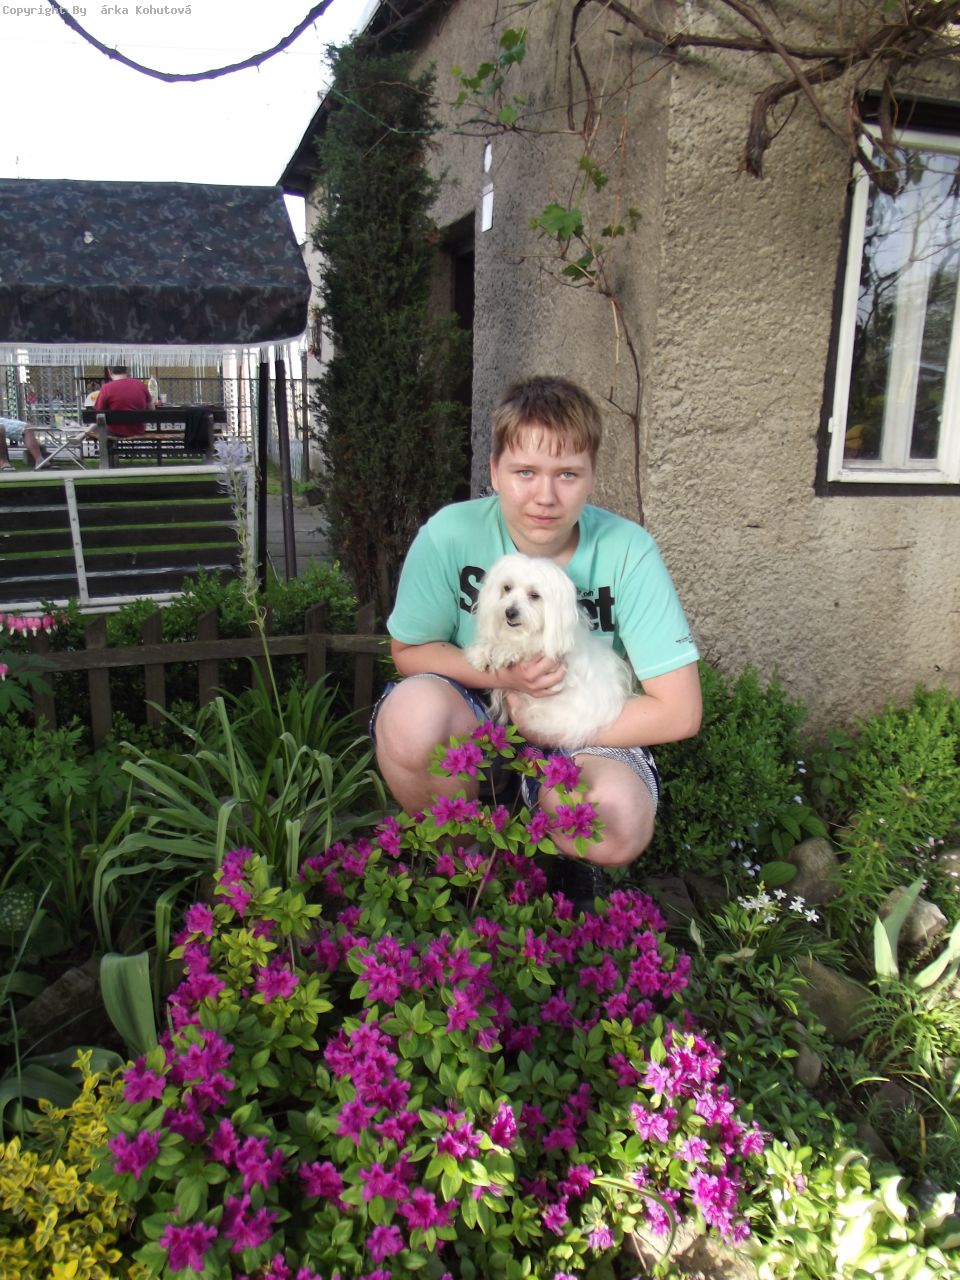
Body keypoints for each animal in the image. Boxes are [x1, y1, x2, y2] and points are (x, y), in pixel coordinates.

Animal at [465, 553, 633, 750]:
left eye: (535, 595)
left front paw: (506, 650)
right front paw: (481, 652)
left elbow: (530, 646)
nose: (509, 612)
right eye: (507, 588)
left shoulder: (557, 671)